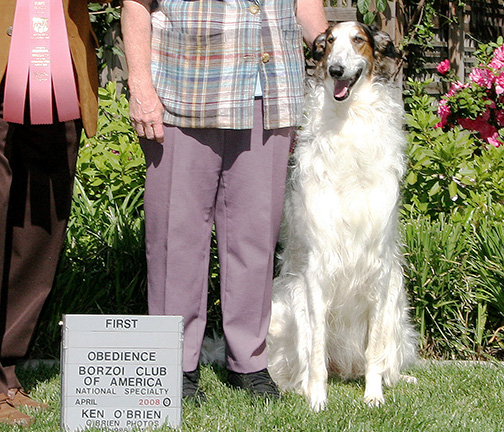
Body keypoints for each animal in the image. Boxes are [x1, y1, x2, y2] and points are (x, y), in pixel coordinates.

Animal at [268, 21, 418, 412]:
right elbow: (316, 349)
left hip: (396, 301)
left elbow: (375, 351)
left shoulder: (379, 268)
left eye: (358, 40)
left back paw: (397, 379)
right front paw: (317, 399)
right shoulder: (316, 269)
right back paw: (298, 386)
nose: (335, 70)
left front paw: (373, 396)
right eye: (330, 42)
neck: (348, 122)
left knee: (385, 358)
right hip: (288, 303)